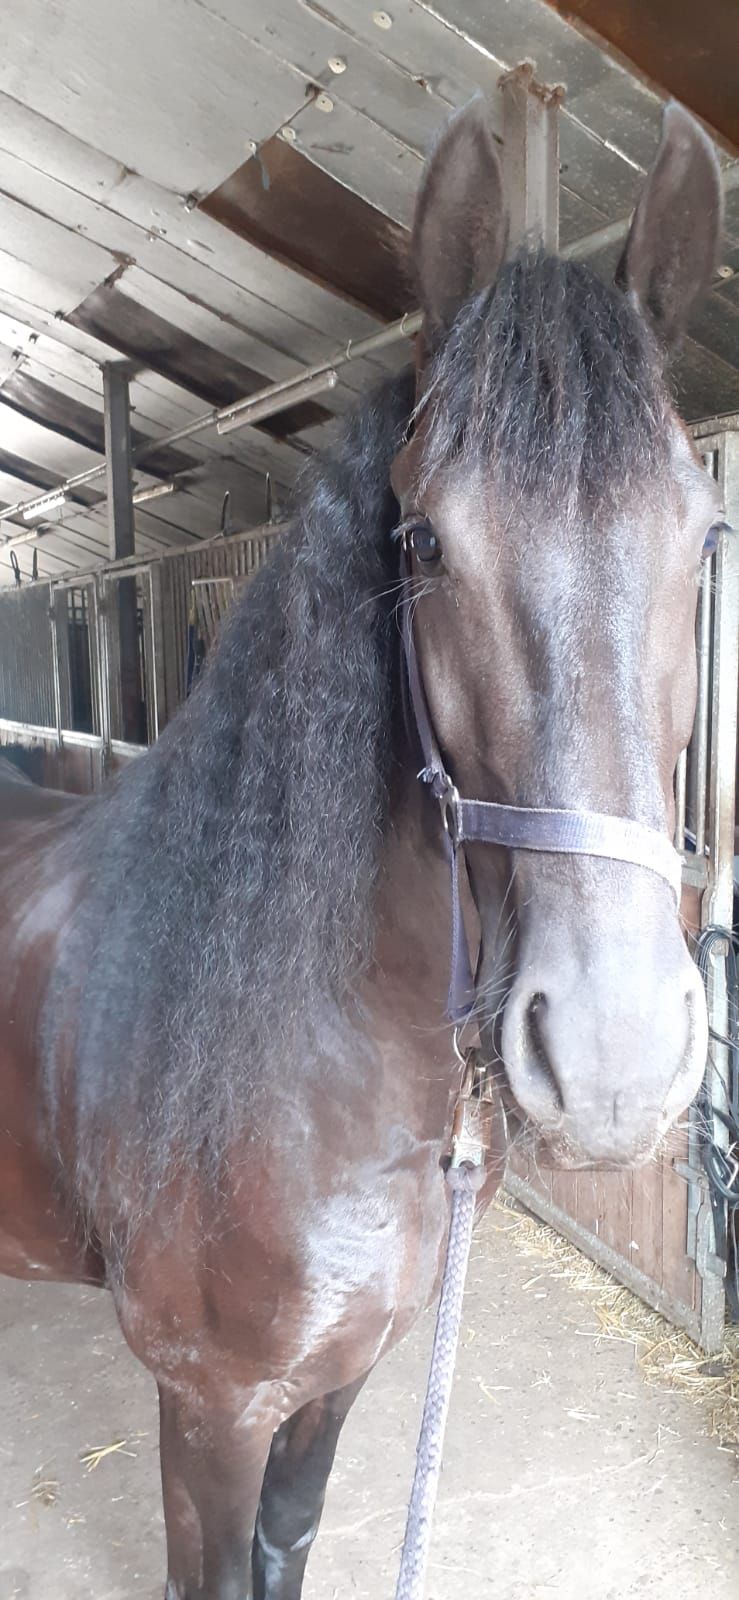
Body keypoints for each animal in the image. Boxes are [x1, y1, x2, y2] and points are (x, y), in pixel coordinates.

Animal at [0, 98, 725, 1599]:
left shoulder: (337, 1383)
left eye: (702, 533)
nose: (614, 1061)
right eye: (425, 541)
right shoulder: (208, 1408)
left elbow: (289, 1547)